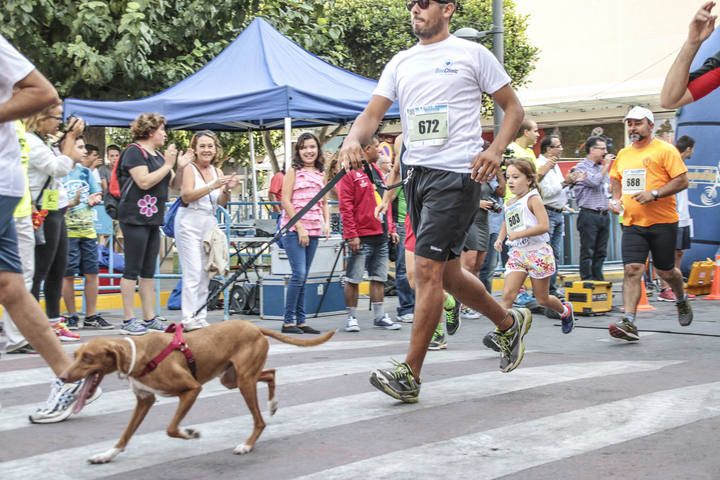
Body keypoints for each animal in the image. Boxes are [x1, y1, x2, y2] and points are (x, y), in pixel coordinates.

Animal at [60, 320, 336, 464]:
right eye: (76, 355)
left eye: (88, 357)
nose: (62, 377)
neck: (138, 354)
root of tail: (254, 326)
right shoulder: (144, 401)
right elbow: (125, 435)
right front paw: (106, 455)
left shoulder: (192, 389)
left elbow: (171, 428)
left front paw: (190, 433)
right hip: (232, 378)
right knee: (271, 373)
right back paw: (274, 404)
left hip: (243, 381)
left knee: (259, 421)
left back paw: (247, 445)